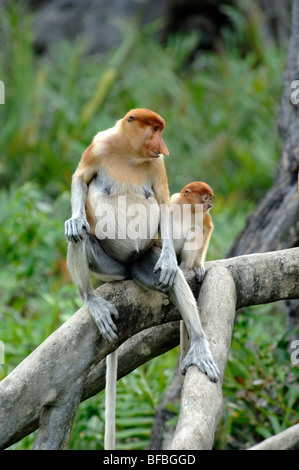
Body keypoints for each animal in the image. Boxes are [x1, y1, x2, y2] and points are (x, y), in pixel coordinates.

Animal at [65, 109, 220, 448]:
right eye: (154, 129)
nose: (162, 146)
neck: (129, 154)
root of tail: (127, 269)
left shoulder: (157, 167)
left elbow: (160, 200)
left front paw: (171, 261)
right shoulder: (98, 146)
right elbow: (80, 178)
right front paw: (76, 217)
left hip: (144, 260)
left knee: (171, 278)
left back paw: (199, 345)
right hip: (108, 266)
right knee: (79, 236)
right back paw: (91, 298)